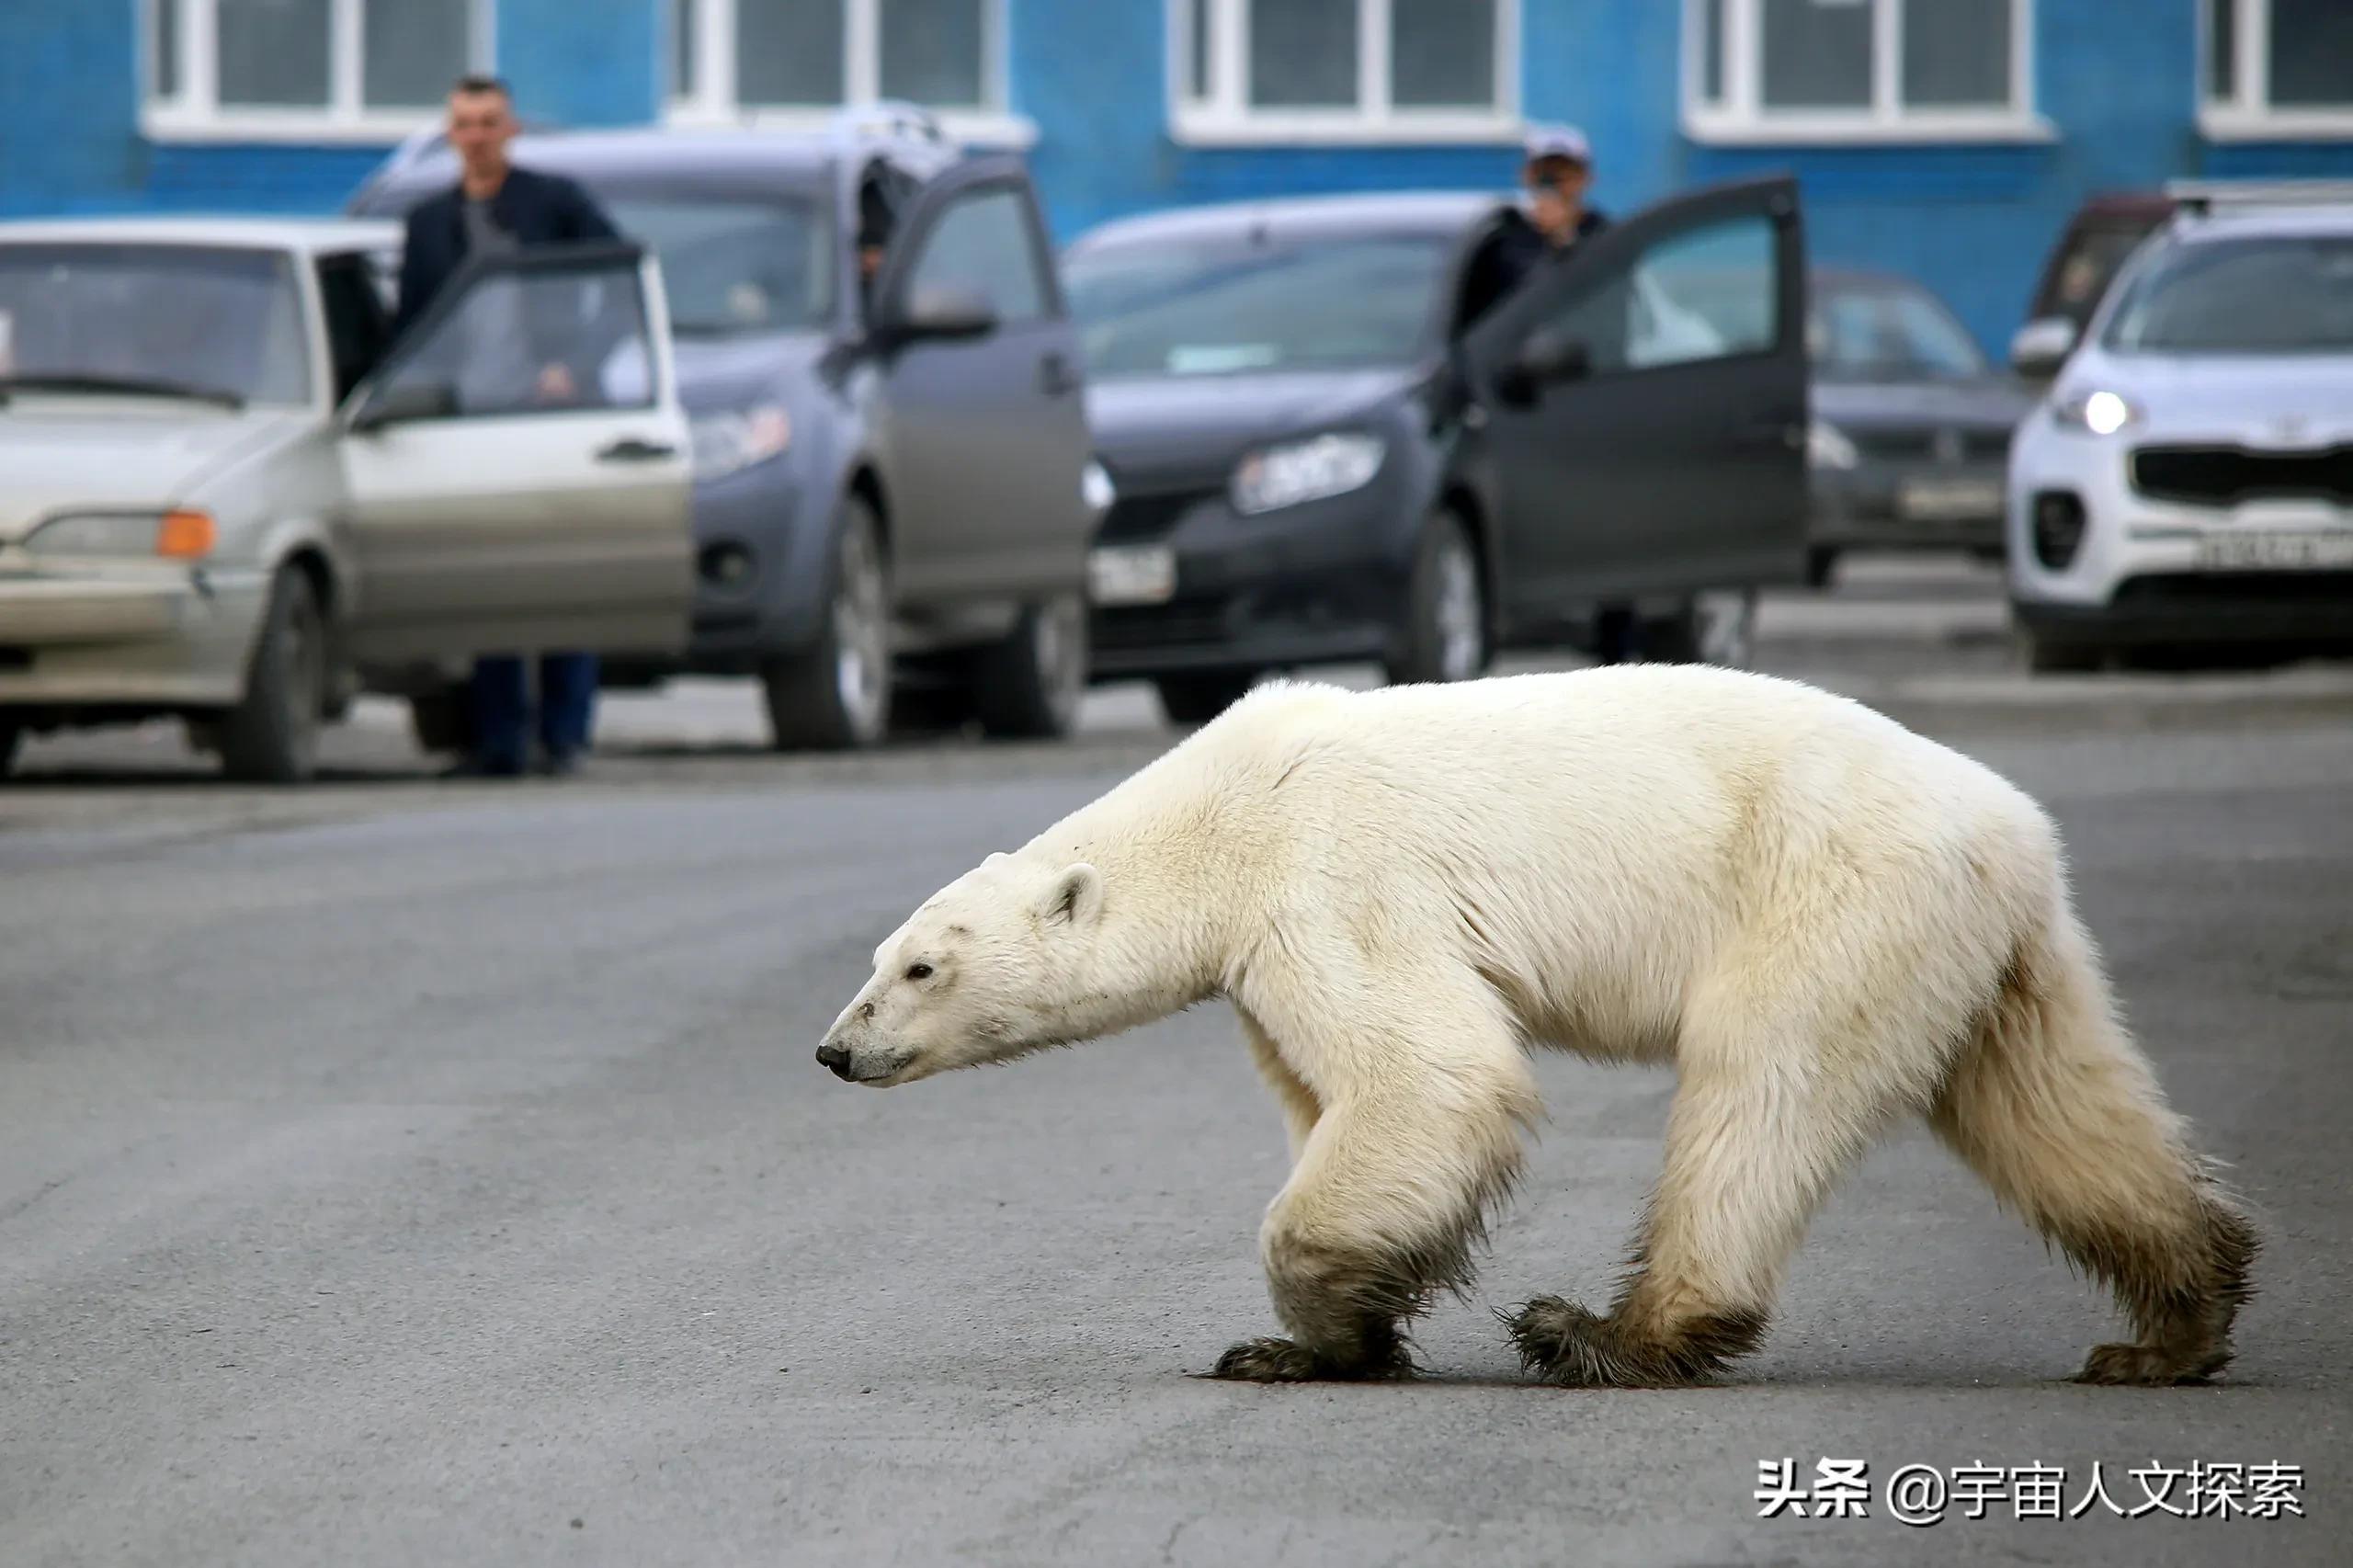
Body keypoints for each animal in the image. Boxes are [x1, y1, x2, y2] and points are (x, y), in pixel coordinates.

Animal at [813, 664, 2258, 1384]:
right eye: (878, 958)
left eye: (922, 966)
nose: (834, 1047)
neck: (1218, 810)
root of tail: (2015, 831)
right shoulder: (1266, 952)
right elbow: (1329, 1093)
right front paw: (1313, 1340)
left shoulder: (1330, 880)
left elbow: (1429, 1072)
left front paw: (1315, 1325)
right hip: (1986, 947)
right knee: (2051, 1102)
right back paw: (2168, 1327)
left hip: (1829, 893)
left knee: (1758, 1084)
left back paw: (1608, 1331)